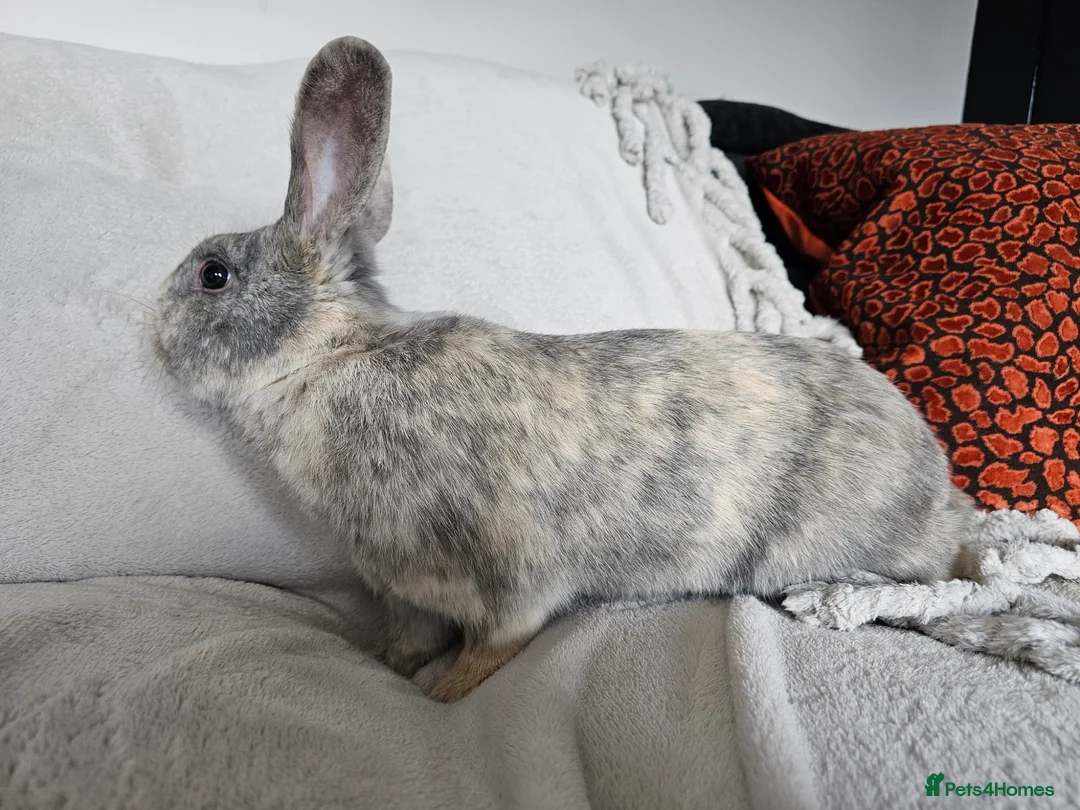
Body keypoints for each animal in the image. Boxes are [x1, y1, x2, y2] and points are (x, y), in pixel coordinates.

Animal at [151, 36, 975, 703]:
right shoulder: (403, 588)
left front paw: (437, 698)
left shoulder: (507, 578)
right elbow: (408, 642)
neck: (331, 358)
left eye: (213, 276)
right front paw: (388, 668)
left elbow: (492, 649)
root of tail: (938, 494)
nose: (151, 330)